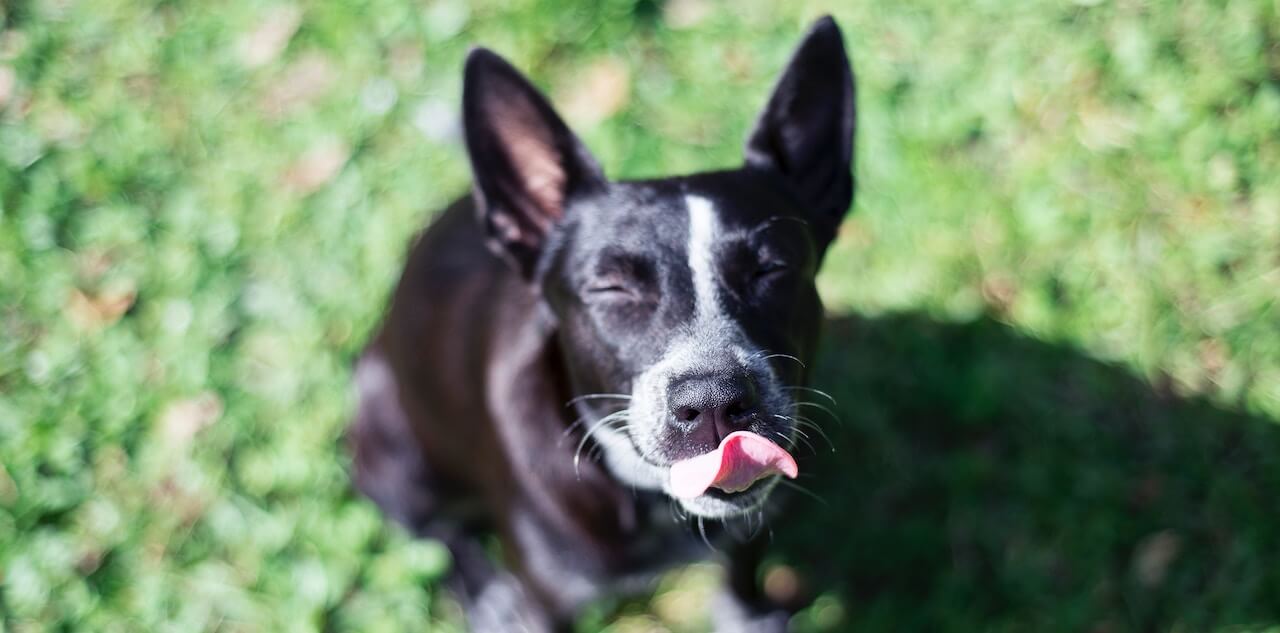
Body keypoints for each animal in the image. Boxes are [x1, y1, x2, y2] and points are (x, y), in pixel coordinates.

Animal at [348, 16, 860, 633]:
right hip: (390, 441)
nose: (714, 400)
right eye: (612, 288)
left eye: (772, 269)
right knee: (435, 529)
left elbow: (741, 580)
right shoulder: (548, 598)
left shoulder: (752, 526)